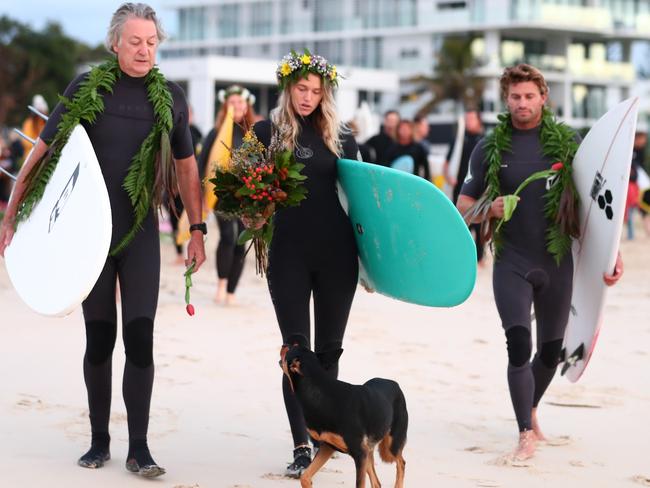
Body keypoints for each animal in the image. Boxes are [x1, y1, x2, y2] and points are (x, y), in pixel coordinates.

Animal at [278, 344, 404, 488]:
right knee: (377, 482)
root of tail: (395, 384)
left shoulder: (359, 454)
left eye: (290, 349)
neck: (320, 392)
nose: (284, 345)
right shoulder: (328, 446)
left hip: (390, 446)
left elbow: (359, 484)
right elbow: (305, 477)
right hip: (369, 450)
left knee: (401, 462)